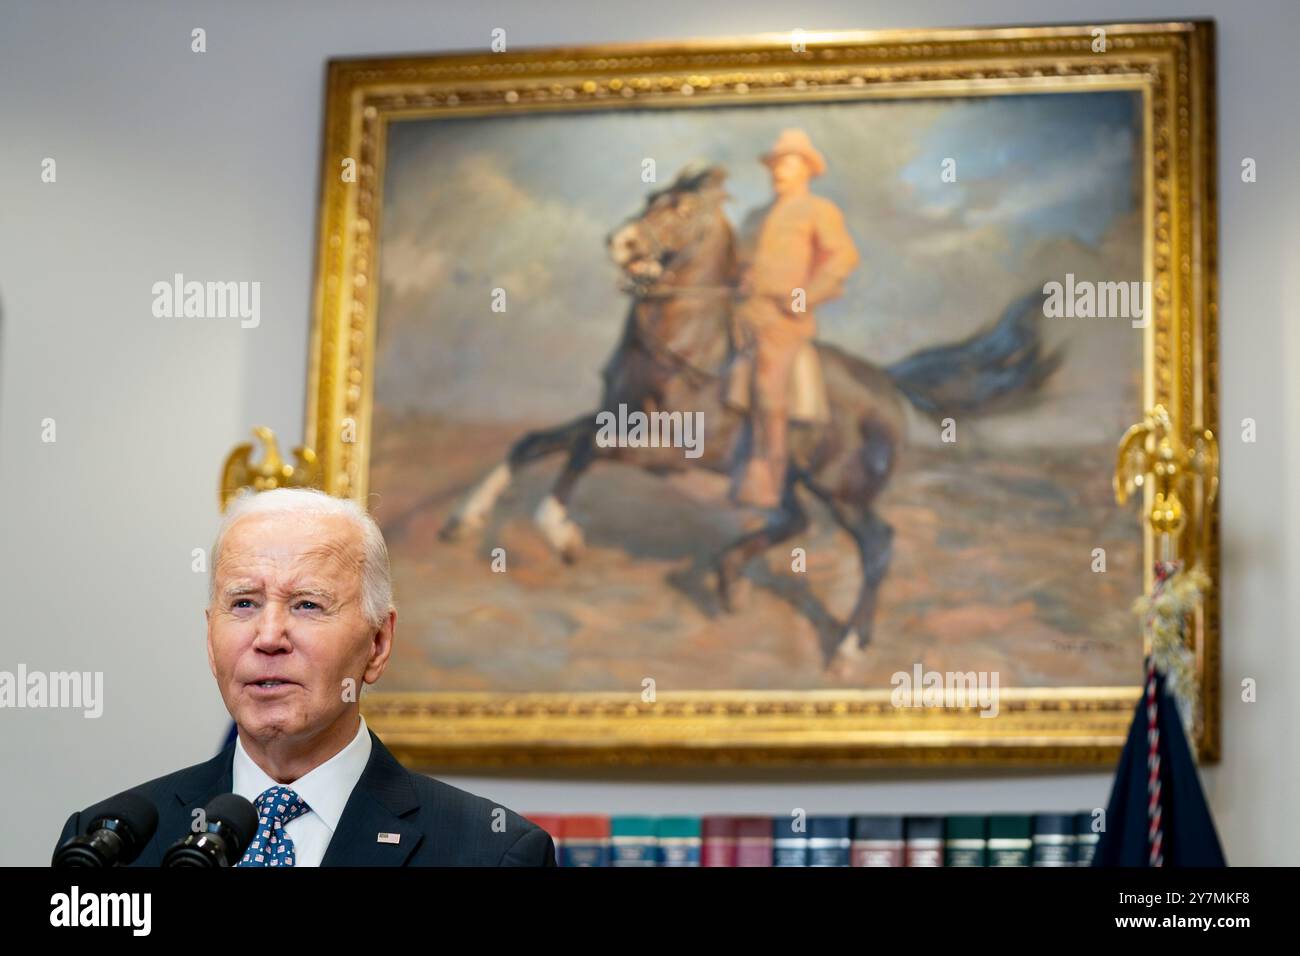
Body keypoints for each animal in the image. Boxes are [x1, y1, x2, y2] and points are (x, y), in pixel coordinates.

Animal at [439, 164, 1055, 671]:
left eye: (681, 210)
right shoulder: (615, 415)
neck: (690, 350)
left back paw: (848, 644)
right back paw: (731, 578)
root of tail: (886, 378)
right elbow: (534, 442)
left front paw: (562, 535)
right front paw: (464, 520)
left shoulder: (664, 449)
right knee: (795, 522)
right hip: (787, 476)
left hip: (843, 492)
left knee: (876, 544)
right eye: (650, 198)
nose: (620, 241)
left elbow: (583, 450)